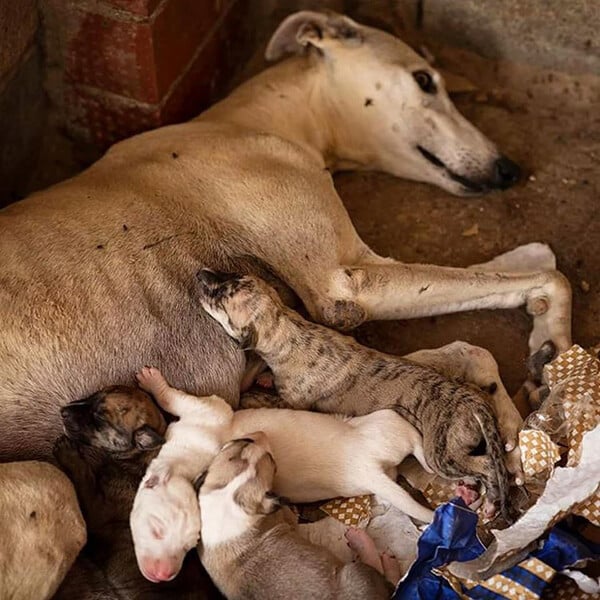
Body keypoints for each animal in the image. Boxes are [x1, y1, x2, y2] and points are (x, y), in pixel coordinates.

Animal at [0, 10, 572, 460]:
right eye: (425, 81)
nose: (508, 169)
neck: (256, 122)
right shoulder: (344, 285)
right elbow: (545, 284)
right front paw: (555, 351)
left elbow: (497, 294)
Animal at [54, 386, 220, 596]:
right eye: (92, 396)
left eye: (100, 416)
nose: (63, 411)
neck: (137, 457)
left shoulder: (95, 509)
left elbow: (83, 475)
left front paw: (67, 452)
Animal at [130, 366, 236, 580]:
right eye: (156, 531)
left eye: (188, 548)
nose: (164, 574)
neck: (180, 470)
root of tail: (227, 411)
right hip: (200, 409)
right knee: (174, 399)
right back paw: (152, 381)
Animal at [197, 272, 510, 520]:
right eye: (230, 276)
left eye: (222, 297)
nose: (200, 274)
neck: (288, 328)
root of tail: (473, 403)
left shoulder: (292, 401)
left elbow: (259, 397)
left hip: (442, 455)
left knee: (486, 466)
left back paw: (491, 502)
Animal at [197, 434, 394, 600]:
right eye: (272, 460)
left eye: (243, 442)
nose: (260, 433)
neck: (231, 498)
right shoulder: (287, 515)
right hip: (358, 572)